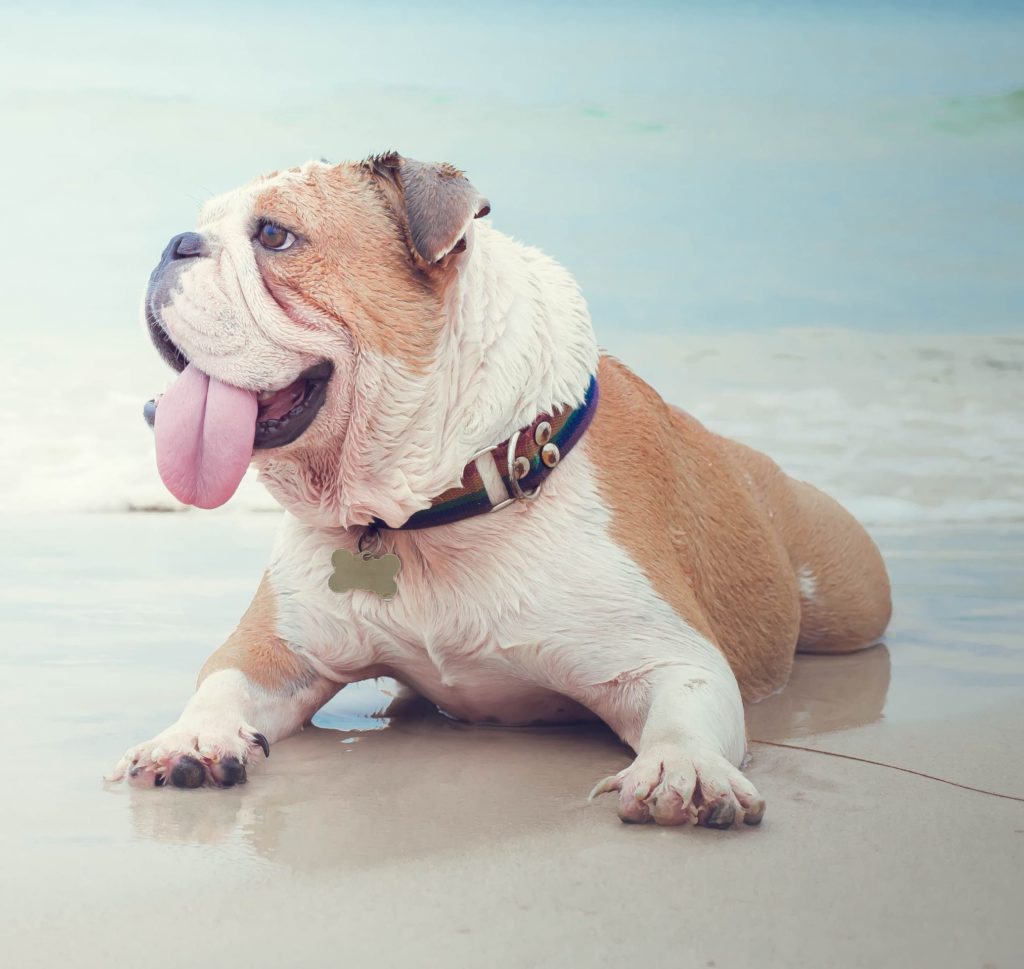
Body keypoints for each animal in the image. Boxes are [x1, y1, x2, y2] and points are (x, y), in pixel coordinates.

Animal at [112, 151, 892, 823]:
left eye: (274, 236)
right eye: (202, 222)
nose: (175, 243)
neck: (432, 508)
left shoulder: (668, 652)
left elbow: (686, 708)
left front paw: (684, 769)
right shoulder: (276, 648)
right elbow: (222, 682)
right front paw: (188, 739)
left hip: (851, 599)